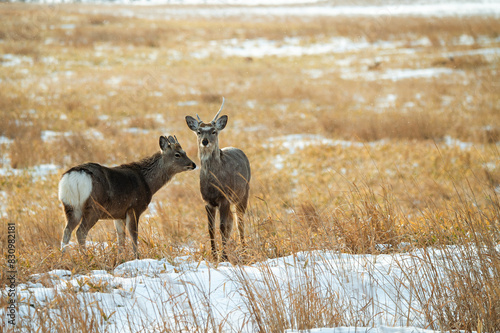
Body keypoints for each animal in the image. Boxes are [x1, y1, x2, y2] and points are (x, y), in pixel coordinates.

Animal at [59, 135, 196, 256]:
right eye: (177, 154)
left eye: (184, 152)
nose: (193, 164)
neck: (148, 183)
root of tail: (74, 177)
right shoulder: (134, 208)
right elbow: (133, 235)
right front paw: (136, 257)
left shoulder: (118, 214)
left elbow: (121, 238)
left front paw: (121, 258)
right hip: (94, 207)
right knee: (80, 232)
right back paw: (86, 257)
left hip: (70, 206)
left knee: (66, 231)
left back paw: (63, 258)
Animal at [186, 97, 252, 260]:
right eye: (198, 131)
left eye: (214, 131)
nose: (205, 141)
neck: (212, 183)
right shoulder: (207, 201)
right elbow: (210, 228)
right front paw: (214, 256)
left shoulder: (224, 198)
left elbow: (222, 227)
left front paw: (224, 257)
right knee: (232, 221)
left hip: (243, 193)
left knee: (239, 221)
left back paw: (244, 249)